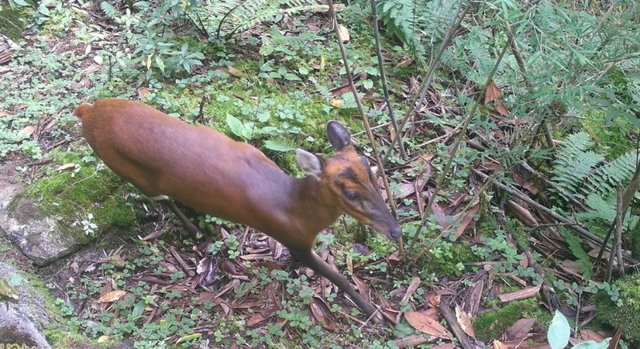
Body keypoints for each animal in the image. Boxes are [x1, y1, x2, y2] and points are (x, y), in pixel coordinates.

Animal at [74, 99, 400, 322]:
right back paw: (193, 229)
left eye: (372, 168)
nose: (395, 231)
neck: (294, 207)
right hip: (130, 172)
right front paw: (378, 315)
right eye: (350, 193)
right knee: (162, 198)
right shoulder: (294, 240)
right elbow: (340, 278)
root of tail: (87, 111)